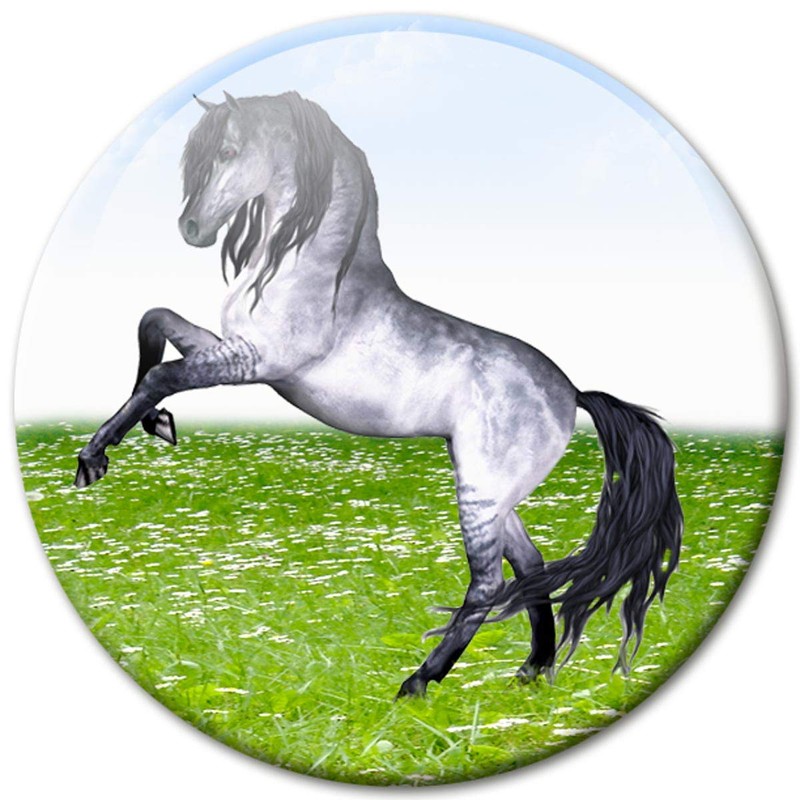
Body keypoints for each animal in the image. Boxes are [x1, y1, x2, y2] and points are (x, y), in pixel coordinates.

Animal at [75, 91, 683, 697]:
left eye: (226, 150)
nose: (192, 226)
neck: (312, 272)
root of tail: (573, 393)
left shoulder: (259, 360)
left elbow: (163, 373)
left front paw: (93, 460)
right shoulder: (235, 348)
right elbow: (153, 322)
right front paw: (157, 425)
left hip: (482, 493)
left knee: (488, 582)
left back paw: (419, 682)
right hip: (490, 489)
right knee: (530, 565)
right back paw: (533, 669)